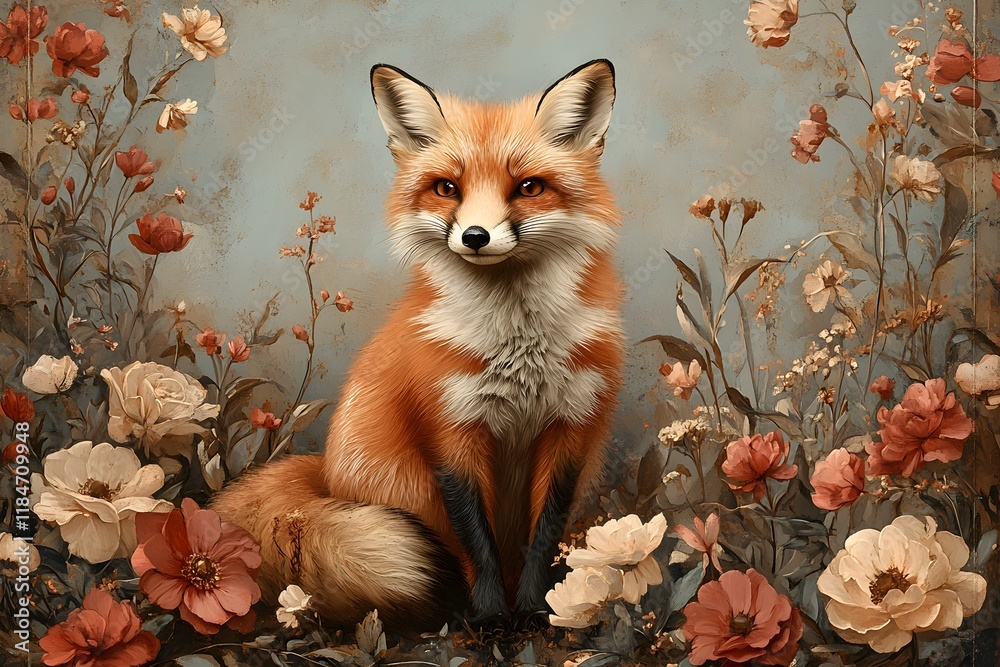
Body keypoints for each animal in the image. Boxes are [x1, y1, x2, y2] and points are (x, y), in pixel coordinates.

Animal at [212, 59, 623, 628]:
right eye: (446, 188)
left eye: (529, 187)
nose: (475, 236)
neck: (517, 348)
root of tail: (327, 474)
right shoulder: (451, 428)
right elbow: (476, 539)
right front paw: (491, 617)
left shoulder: (571, 427)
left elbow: (545, 534)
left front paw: (537, 610)